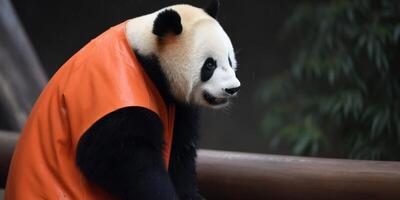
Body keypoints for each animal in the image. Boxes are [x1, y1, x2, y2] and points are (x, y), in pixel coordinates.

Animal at [3, 0, 241, 199]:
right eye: (209, 65)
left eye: (230, 60)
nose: (232, 88)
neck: (146, 57)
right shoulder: (111, 93)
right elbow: (121, 158)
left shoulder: (180, 107)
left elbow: (180, 154)